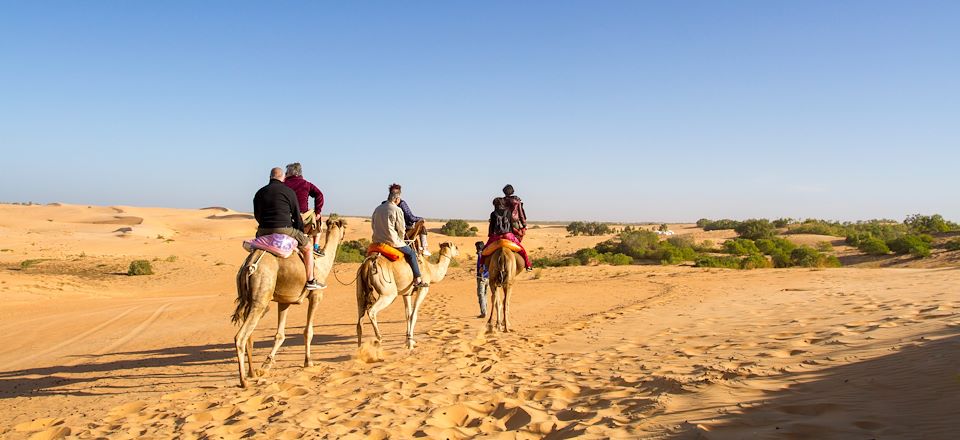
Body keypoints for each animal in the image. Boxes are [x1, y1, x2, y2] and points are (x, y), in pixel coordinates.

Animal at [231, 218, 346, 386]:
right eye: (345, 227)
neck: (323, 262)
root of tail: (249, 266)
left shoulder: (284, 301)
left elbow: (280, 334)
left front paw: (267, 363)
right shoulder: (316, 296)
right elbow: (308, 331)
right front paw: (308, 361)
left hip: (249, 300)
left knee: (249, 337)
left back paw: (252, 373)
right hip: (261, 297)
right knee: (240, 337)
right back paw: (243, 381)